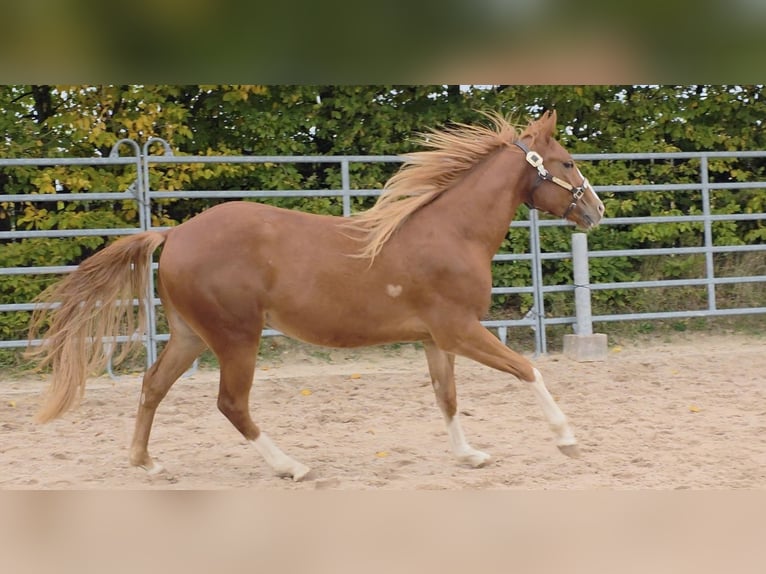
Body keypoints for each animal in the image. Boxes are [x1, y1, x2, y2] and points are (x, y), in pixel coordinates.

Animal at [27, 110, 604, 481]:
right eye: (568, 162)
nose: (596, 211)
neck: (451, 232)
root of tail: (174, 235)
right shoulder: (460, 330)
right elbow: (528, 370)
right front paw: (568, 439)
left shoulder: (436, 338)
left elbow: (448, 397)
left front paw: (470, 457)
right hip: (236, 336)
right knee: (231, 403)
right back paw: (292, 466)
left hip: (191, 335)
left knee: (152, 386)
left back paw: (145, 462)